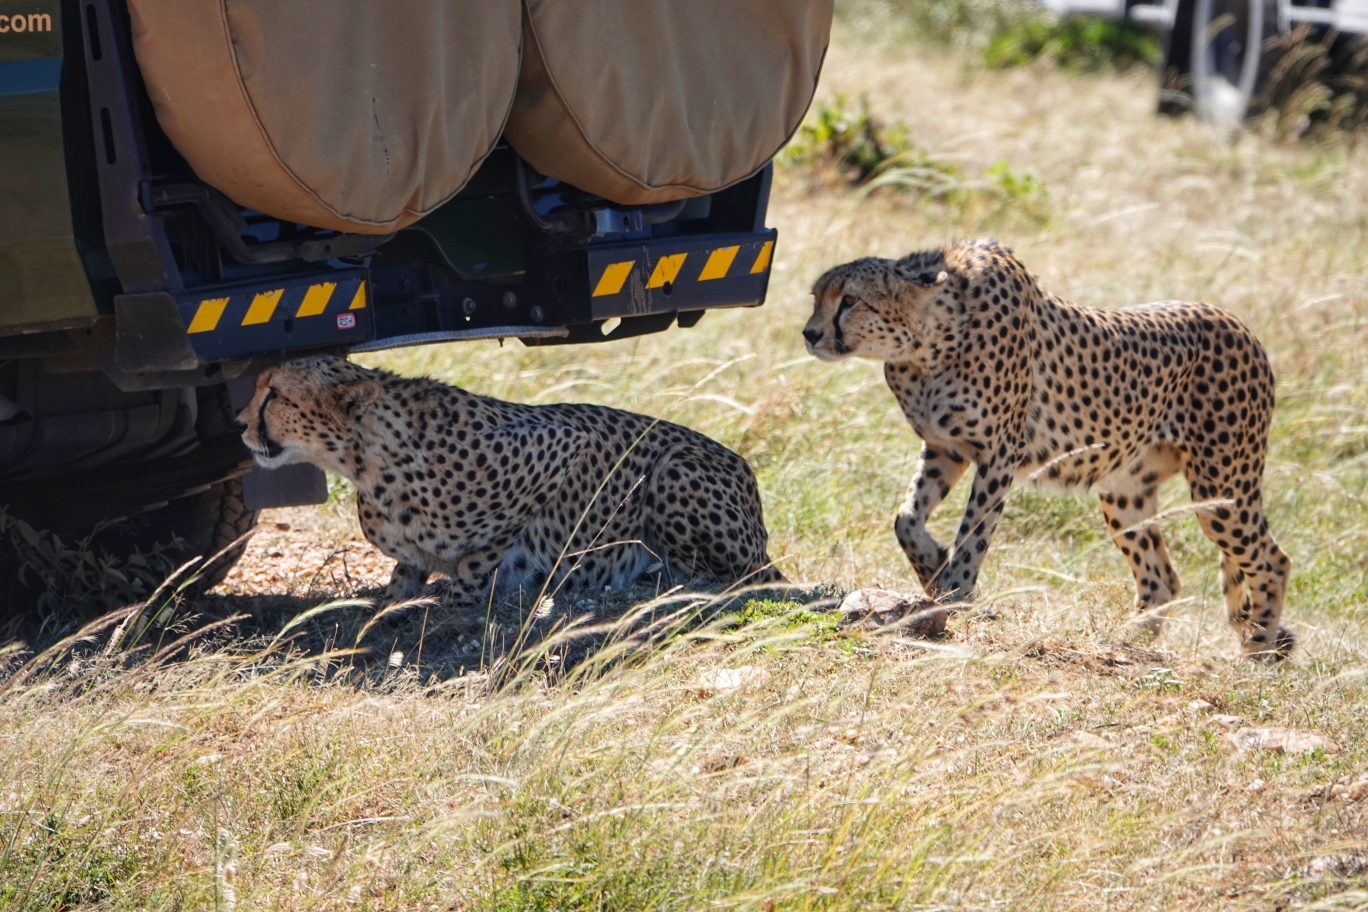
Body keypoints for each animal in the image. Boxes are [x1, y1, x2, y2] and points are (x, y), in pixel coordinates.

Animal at [238, 355, 782, 607]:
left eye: (275, 395)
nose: (240, 423)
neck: (366, 461)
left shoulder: (563, 442)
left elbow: (487, 552)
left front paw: (466, 591)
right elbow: (404, 576)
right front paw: (392, 599)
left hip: (675, 468)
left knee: (745, 575)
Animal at [798, 239, 1291, 659]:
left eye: (850, 300)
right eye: (817, 296)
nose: (810, 333)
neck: (927, 343)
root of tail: (1239, 324)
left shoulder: (1000, 452)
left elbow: (975, 532)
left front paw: (956, 591)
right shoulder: (944, 448)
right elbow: (905, 519)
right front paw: (935, 566)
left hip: (1221, 490)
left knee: (1273, 560)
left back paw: (1258, 652)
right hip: (1124, 492)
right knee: (1162, 578)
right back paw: (1127, 642)